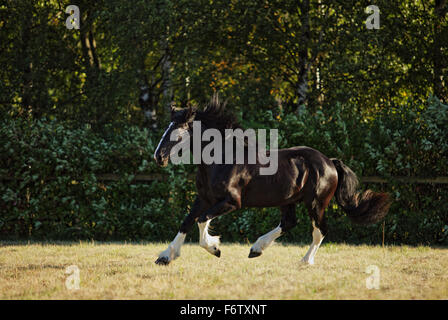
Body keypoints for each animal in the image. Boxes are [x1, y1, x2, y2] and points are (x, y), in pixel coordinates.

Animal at [152, 95, 390, 264]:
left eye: (178, 132)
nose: (158, 157)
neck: (221, 160)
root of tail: (330, 162)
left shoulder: (232, 202)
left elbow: (202, 220)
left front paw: (215, 248)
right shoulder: (203, 199)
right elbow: (186, 222)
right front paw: (165, 256)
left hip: (316, 202)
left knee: (320, 229)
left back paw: (304, 261)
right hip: (288, 200)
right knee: (289, 222)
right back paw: (256, 249)